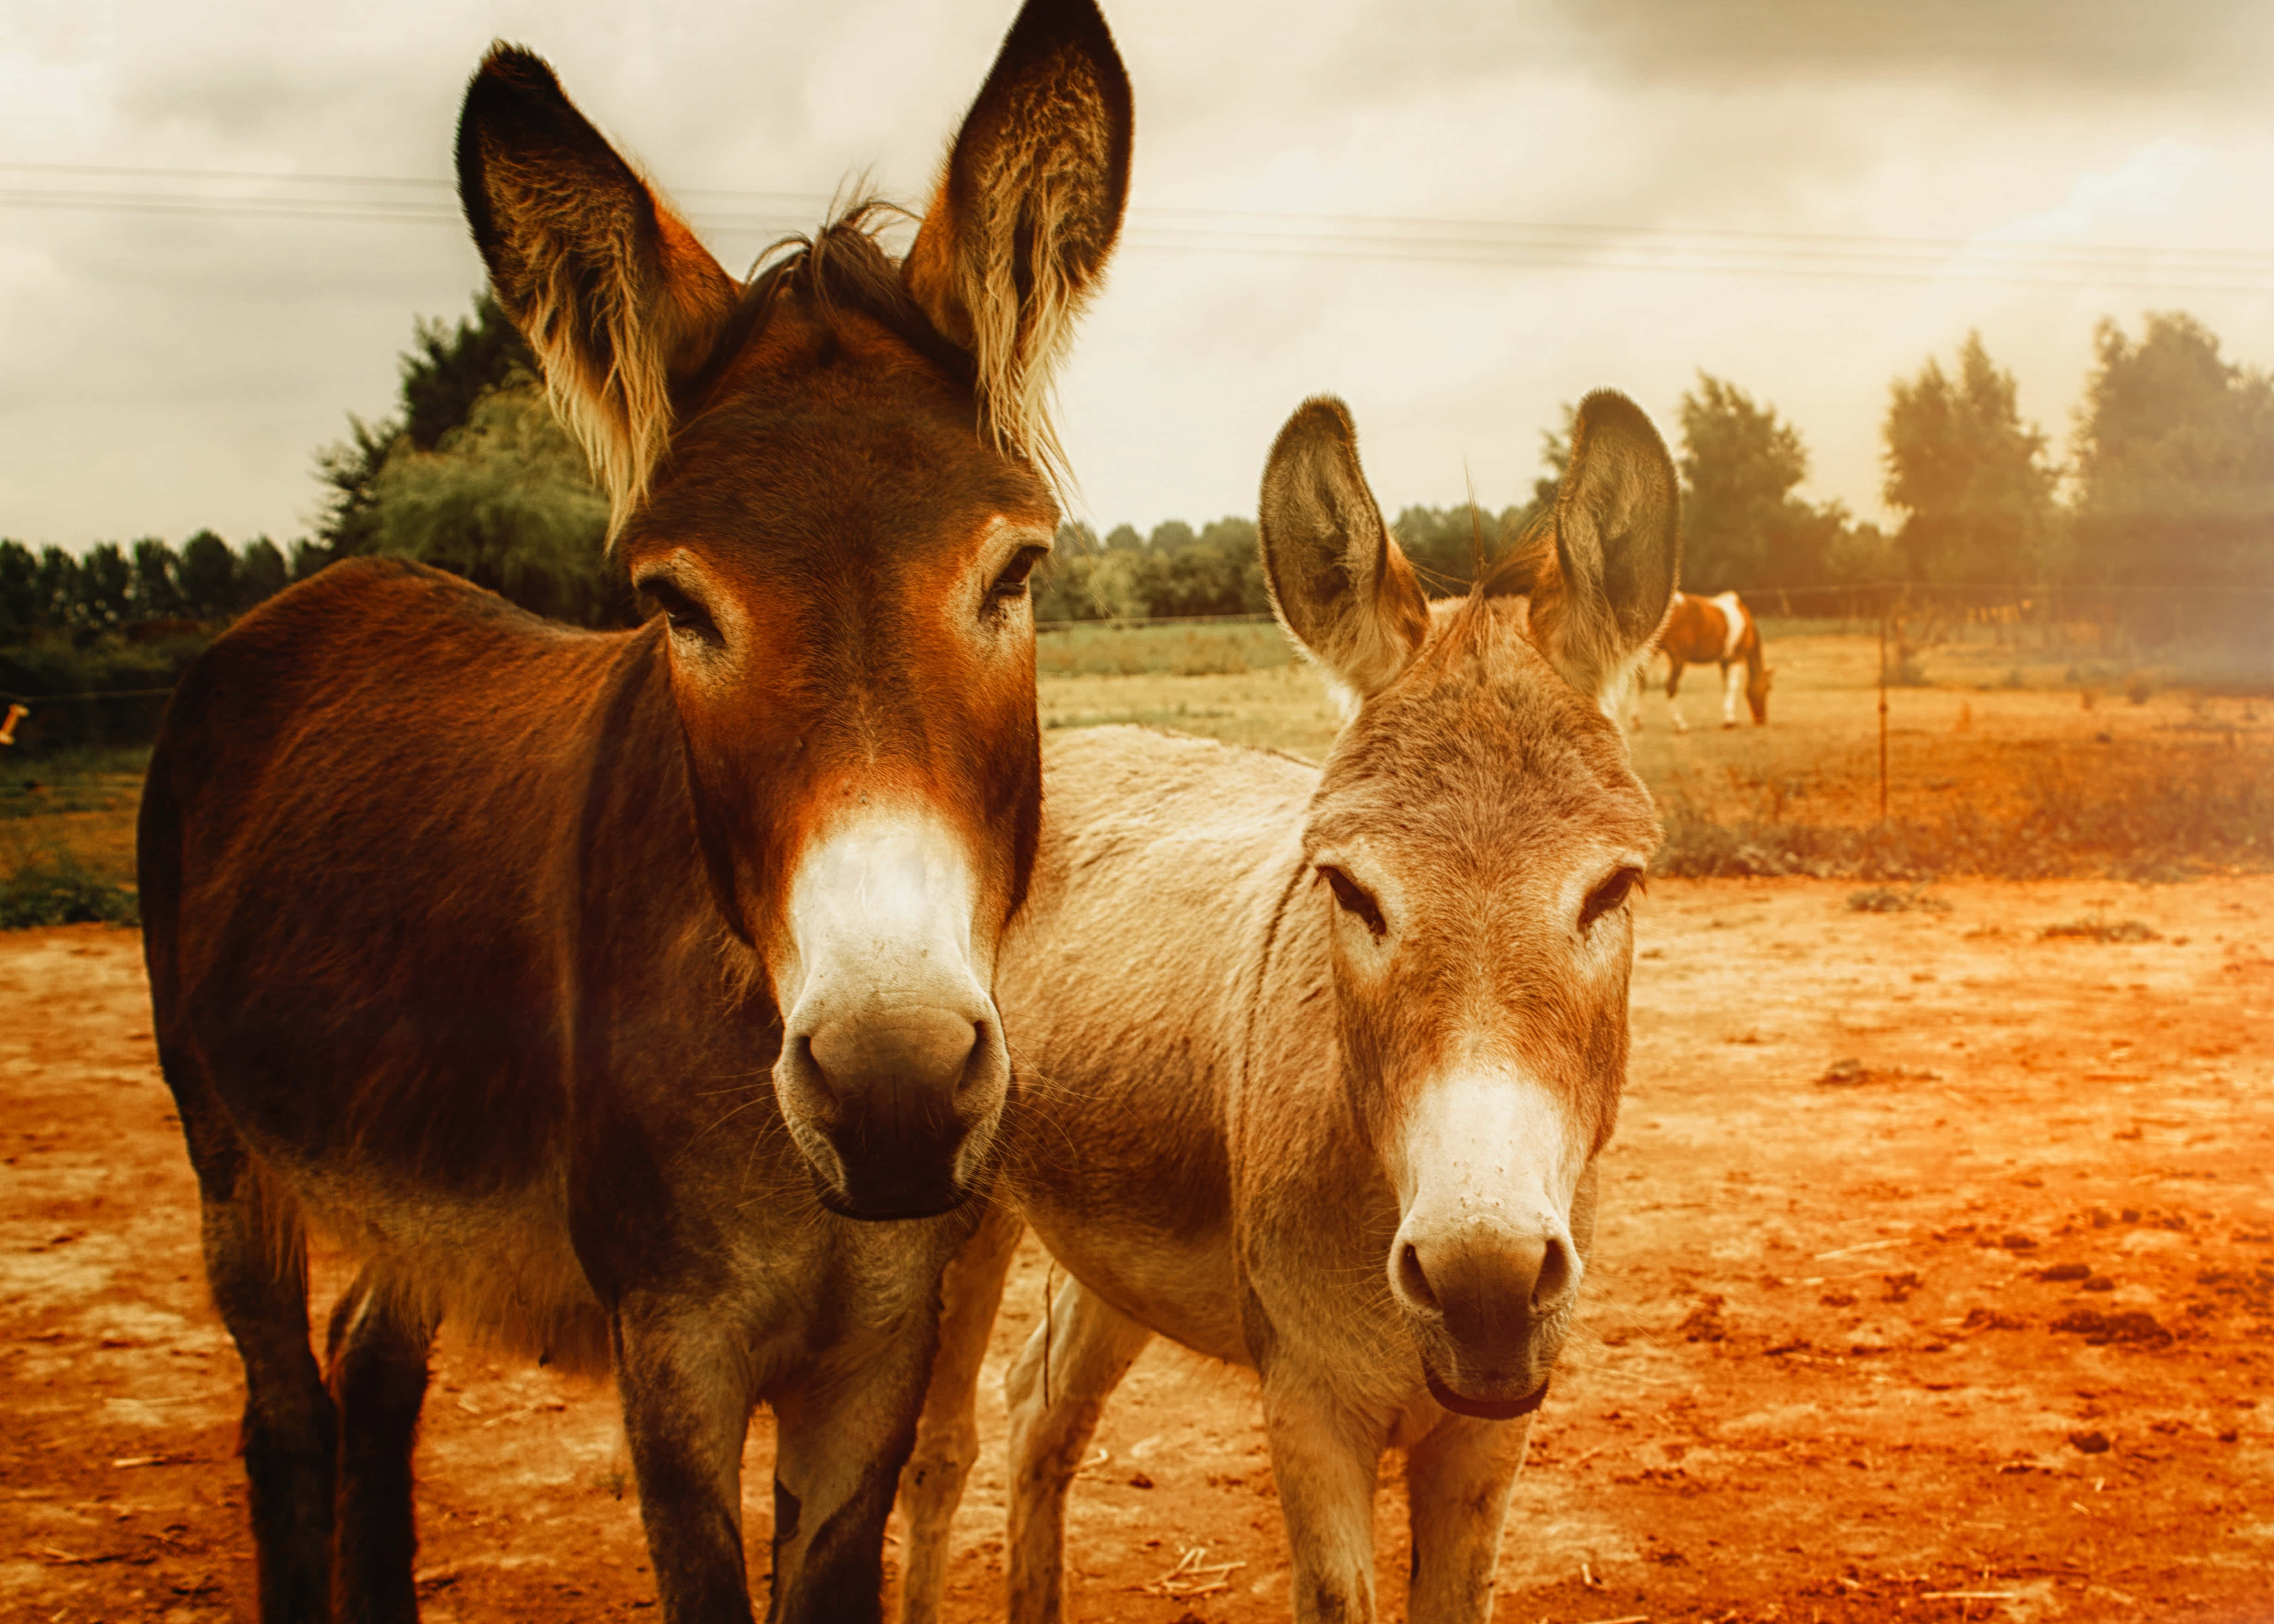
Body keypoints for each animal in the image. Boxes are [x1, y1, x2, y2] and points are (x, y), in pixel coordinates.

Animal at [135, 2, 1131, 1618]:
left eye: (1015, 571)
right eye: (675, 604)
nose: (895, 1088)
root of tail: (314, 596)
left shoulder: (878, 1351)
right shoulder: (672, 1355)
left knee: (372, 1360)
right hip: (230, 1153)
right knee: (282, 1411)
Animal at [893, 389, 1677, 1624]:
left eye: (1613, 889)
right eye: (1348, 889)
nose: (1483, 1284)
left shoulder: (1489, 1436)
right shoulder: (1308, 1411)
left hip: (1110, 1247)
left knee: (1040, 1412)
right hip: (961, 1212)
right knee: (942, 1449)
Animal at [1627, 587, 1770, 729]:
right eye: (1768, 688)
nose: (1762, 720)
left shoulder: (1725, 661)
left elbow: (1725, 686)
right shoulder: (1736, 657)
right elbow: (1732, 686)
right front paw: (1730, 720)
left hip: (1651, 652)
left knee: (1640, 683)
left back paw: (1636, 720)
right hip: (1678, 659)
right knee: (1670, 687)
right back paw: (1680, 723)